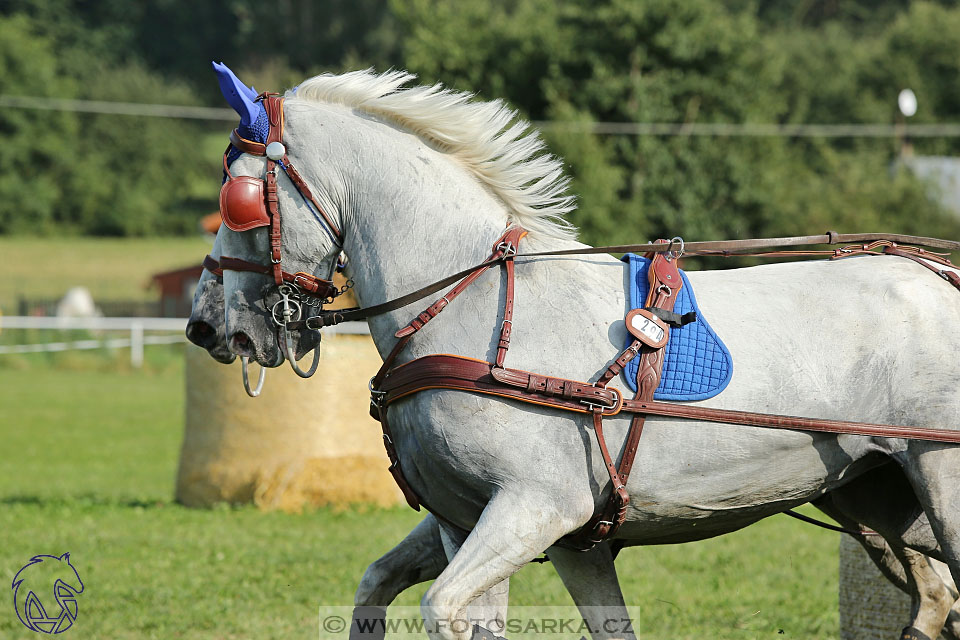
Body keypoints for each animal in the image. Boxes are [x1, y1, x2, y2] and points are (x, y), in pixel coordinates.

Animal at [214, 70, 960, 640]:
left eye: (241, 201)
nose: (215, 327)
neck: (474, 309)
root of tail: (941, 276)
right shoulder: (499, 527)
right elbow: (386, 584)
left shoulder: (539, 507)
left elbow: (444, 605)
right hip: (873, 499)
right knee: (936, 598)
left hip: (937, 482)